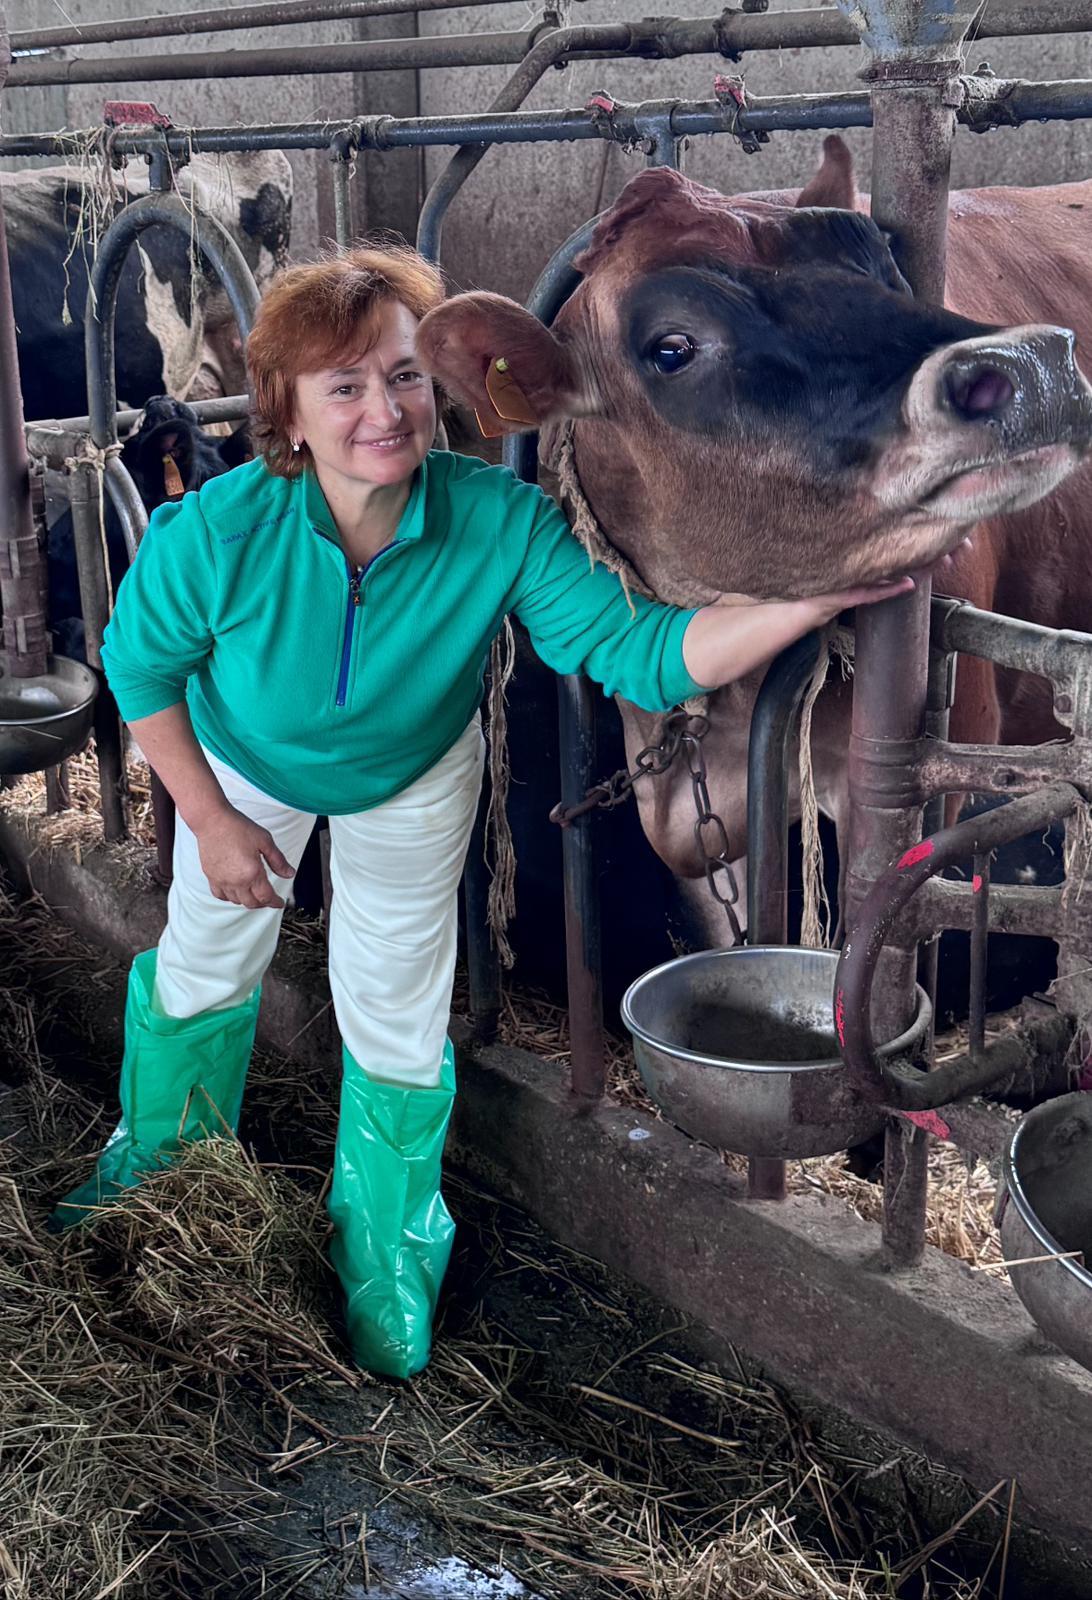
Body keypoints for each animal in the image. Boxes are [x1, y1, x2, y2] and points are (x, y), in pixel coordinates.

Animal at [419, 140, 1088, 934]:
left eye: (891, 274)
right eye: (671, 349)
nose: (1035, 366)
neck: (733, 706)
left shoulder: (936, 781)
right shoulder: (683, 819)